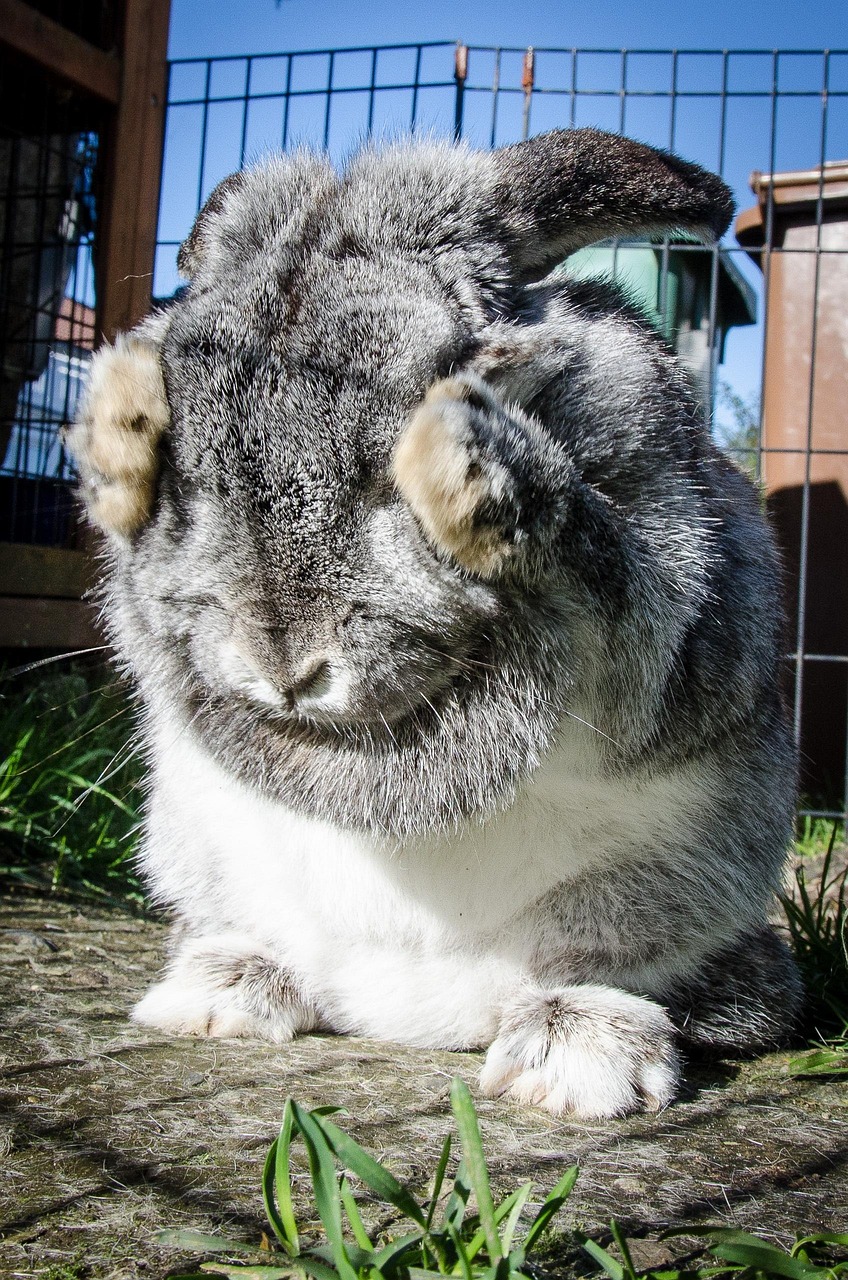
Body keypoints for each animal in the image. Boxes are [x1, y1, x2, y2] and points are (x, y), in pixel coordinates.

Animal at [68, 124, 804, 1116]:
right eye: (195, 478)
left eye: (384, 480)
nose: (286, 671)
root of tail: (404, 1013)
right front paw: (122, 416)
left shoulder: (679, 601)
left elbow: (603, 561)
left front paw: (464, 456)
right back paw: (219, 994)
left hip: (665, 902)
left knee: (636, 978)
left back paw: (571, 1061)